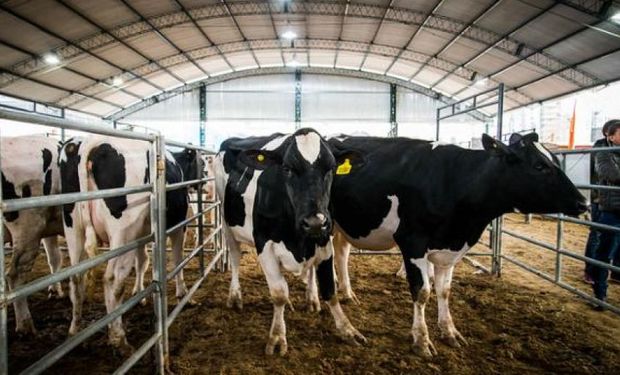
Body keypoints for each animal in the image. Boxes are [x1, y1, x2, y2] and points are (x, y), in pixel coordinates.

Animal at [0, 137, 64, 336]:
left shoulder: (49, 228)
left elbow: (55, 258)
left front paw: (55, 290)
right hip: (29, 227)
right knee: (15, 275)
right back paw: (25, 325)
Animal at [58, 137, 203, 352]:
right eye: (202, 164)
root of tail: (93, 143)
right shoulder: (177, 226)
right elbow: (178, 259)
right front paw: (183, 293)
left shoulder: (141, 235)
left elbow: (142, 261)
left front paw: (140, 294)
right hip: (122, 233)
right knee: (112, 279)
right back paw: (118, 336)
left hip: (73, 227)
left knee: (76, 278)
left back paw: (75, 332)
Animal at [214, 129, 366, 356]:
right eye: (286, 168)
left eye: (331, 168)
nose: (314, 222)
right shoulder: (264, 245)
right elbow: (278, 293)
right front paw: (277, 336)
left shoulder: (324, 239)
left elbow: (329, 289)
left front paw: (347, 329)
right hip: (227, 222)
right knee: (234, 258)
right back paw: (235, 296)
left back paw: (311, 298)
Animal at [324, 133, 588, 358]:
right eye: (539, 166)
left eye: (555, 161)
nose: (583, 203)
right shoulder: (412, 241)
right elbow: (422, 292)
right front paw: (421, 340)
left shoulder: (449, 249)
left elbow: (444, 290)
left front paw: (449, 331)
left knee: (342, 254)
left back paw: (348, 292)